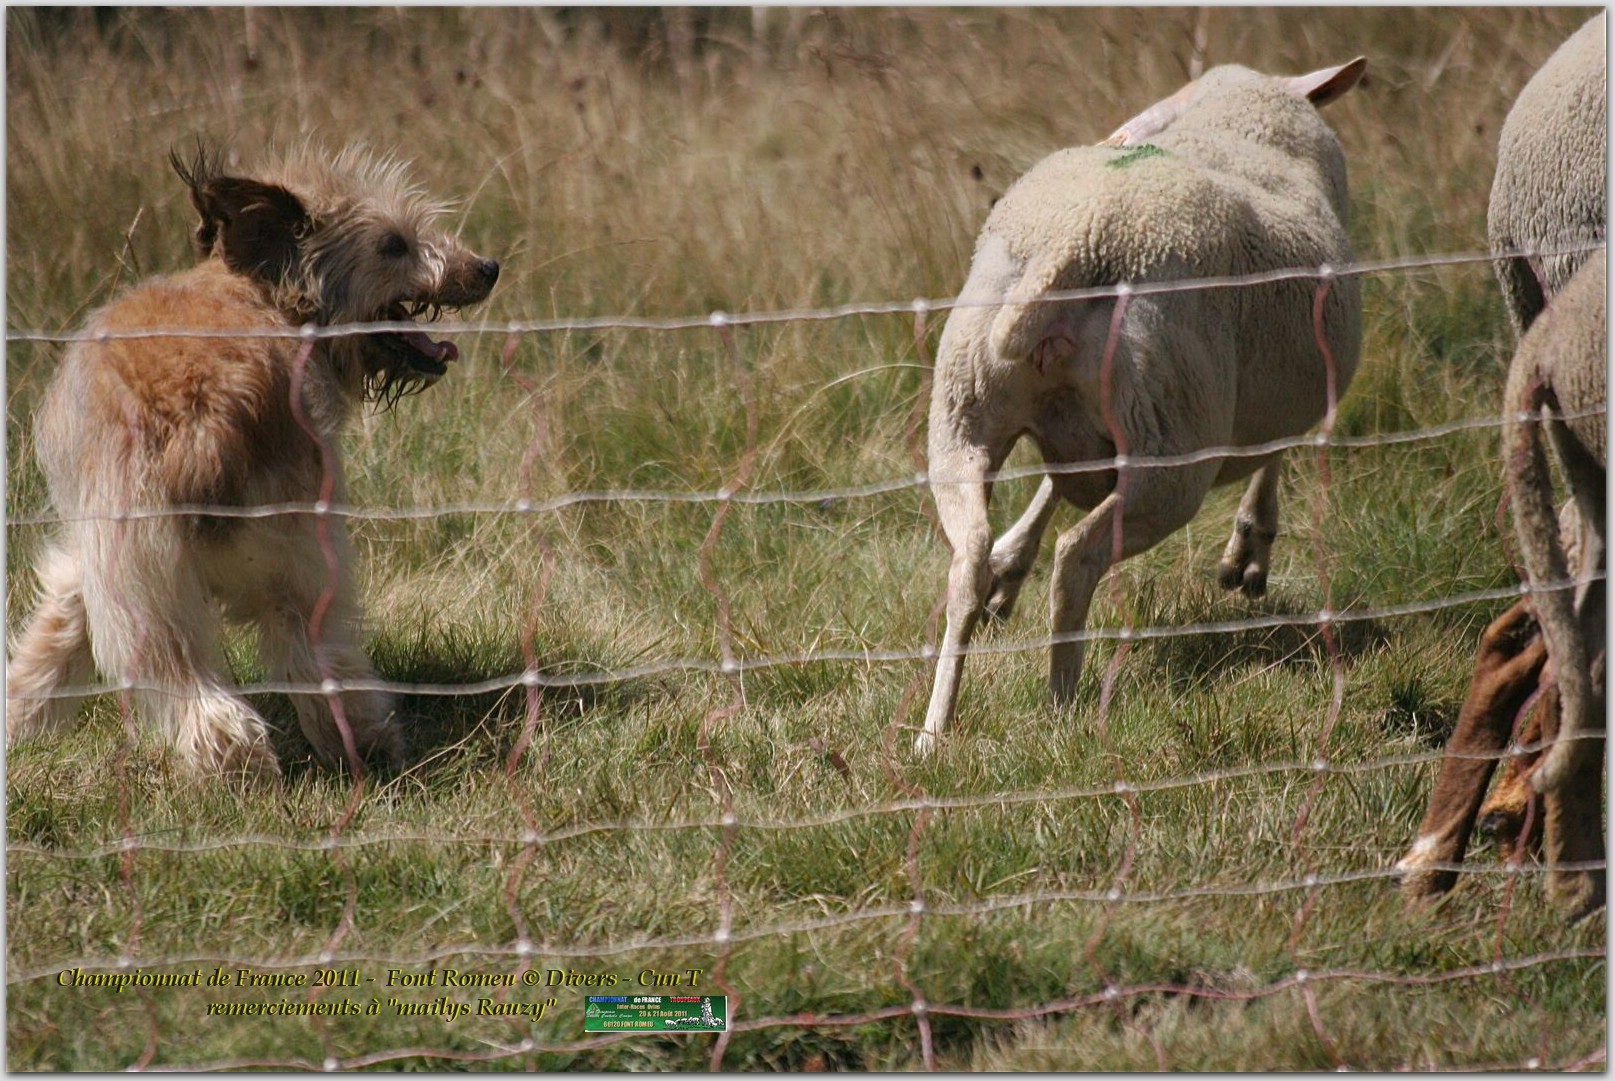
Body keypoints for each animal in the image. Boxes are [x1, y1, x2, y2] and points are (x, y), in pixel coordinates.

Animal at [6, 143, 499, 778]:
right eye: (395, 244)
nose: (487, 267)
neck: (261, 295)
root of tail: (199, 414)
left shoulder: (91, 557)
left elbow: (57, 628)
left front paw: (22, 722)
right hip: (298, 553)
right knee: (314, 657)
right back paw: (355, 746)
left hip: (144, 573)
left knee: (187, 676)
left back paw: (241, 764)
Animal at [919, 58, 1366, 751]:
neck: (1240, 120)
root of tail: (1070, 244)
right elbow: (1275, 451)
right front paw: (1250, 546)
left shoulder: (1082, 438)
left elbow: (1051, 486)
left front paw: (1009, 566)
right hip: (1172, 442)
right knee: (1076, 558)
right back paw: (1063, 708)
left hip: (962, 409)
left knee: (966, 558)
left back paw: (935, 727)